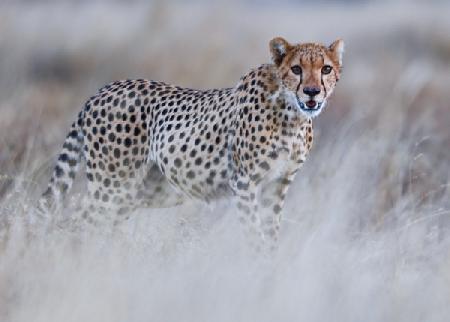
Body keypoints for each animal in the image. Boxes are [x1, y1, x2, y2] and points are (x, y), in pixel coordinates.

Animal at [40, 37, 346, 249]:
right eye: (296, 69)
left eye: (325, 69)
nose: (312, 91)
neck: (291, 114)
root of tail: (101, 91)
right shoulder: (244, 182)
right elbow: (254, 235)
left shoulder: (278, 183)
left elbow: (271, 235)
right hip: (112, 185)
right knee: (78, 223)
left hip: (139, 191)